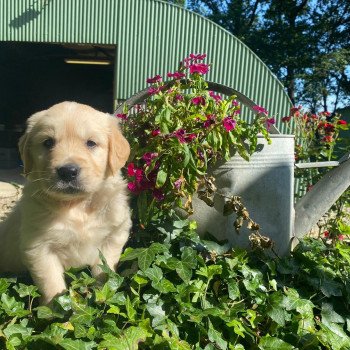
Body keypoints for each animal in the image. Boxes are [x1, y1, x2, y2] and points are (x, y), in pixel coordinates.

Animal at [0, 101, 131, 304]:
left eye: (91, 143)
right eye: (48, 142)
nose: (68, 171)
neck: (77, 205)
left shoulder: (114, 235)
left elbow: (104, 271)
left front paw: (102, 298)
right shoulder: (39, 247)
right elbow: (52, 286)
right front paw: (56, 309)